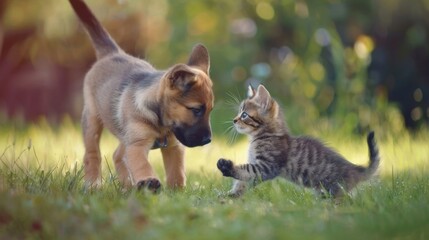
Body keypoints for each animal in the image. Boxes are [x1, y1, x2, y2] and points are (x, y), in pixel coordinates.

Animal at [69, 0, 214, 191]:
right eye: (196, 109)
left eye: (210, 110)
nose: (208, 140)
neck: (160, 122)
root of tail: (113, 53)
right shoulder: (137, 145)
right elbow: (141, 164)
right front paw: (148, 181)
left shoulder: (173, 146)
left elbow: (176, 171)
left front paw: (177, 192)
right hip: (92, 119)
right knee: (92, 154)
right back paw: (93, 184)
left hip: (124, 133)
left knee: (117, 155)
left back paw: (127, 186)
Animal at [217, 85, 378, 198]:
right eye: (239, 113)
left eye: (244, 114)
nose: (234, 120)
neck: (265, 136)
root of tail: (355, 168)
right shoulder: (255, 165)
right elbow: (242, 181)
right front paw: (231, 196)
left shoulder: (267, 166)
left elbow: (245, 171)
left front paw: (227, 167)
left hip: (334, 189)